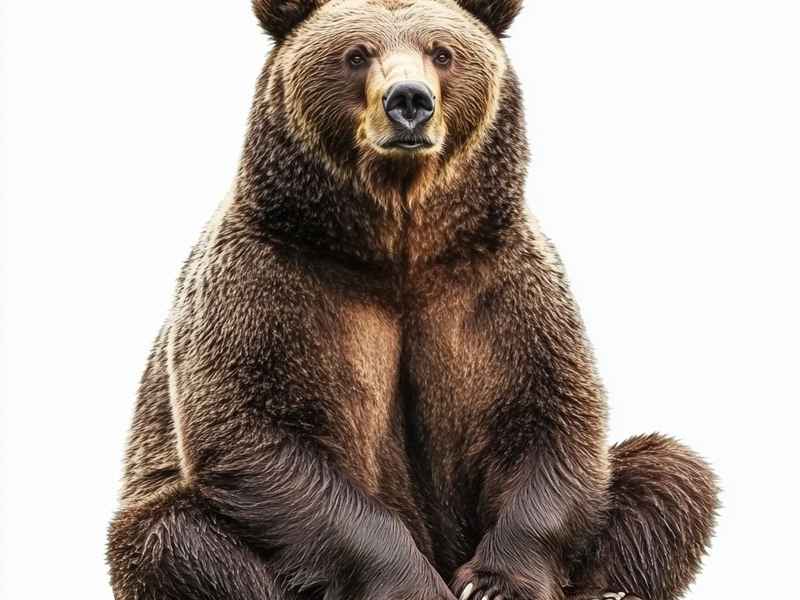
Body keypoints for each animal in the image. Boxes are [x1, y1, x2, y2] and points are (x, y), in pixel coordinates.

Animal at [107, 1, 719, 600]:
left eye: (442, 52)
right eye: (356, 54)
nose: (409, 102)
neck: (399, 249)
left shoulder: (501, 285)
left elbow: (550, 415)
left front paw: (495, 584)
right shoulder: (266, 279)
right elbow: (254, 429)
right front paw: (413, 586)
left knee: (668, 475)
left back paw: (609, 590)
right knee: (170, 536)